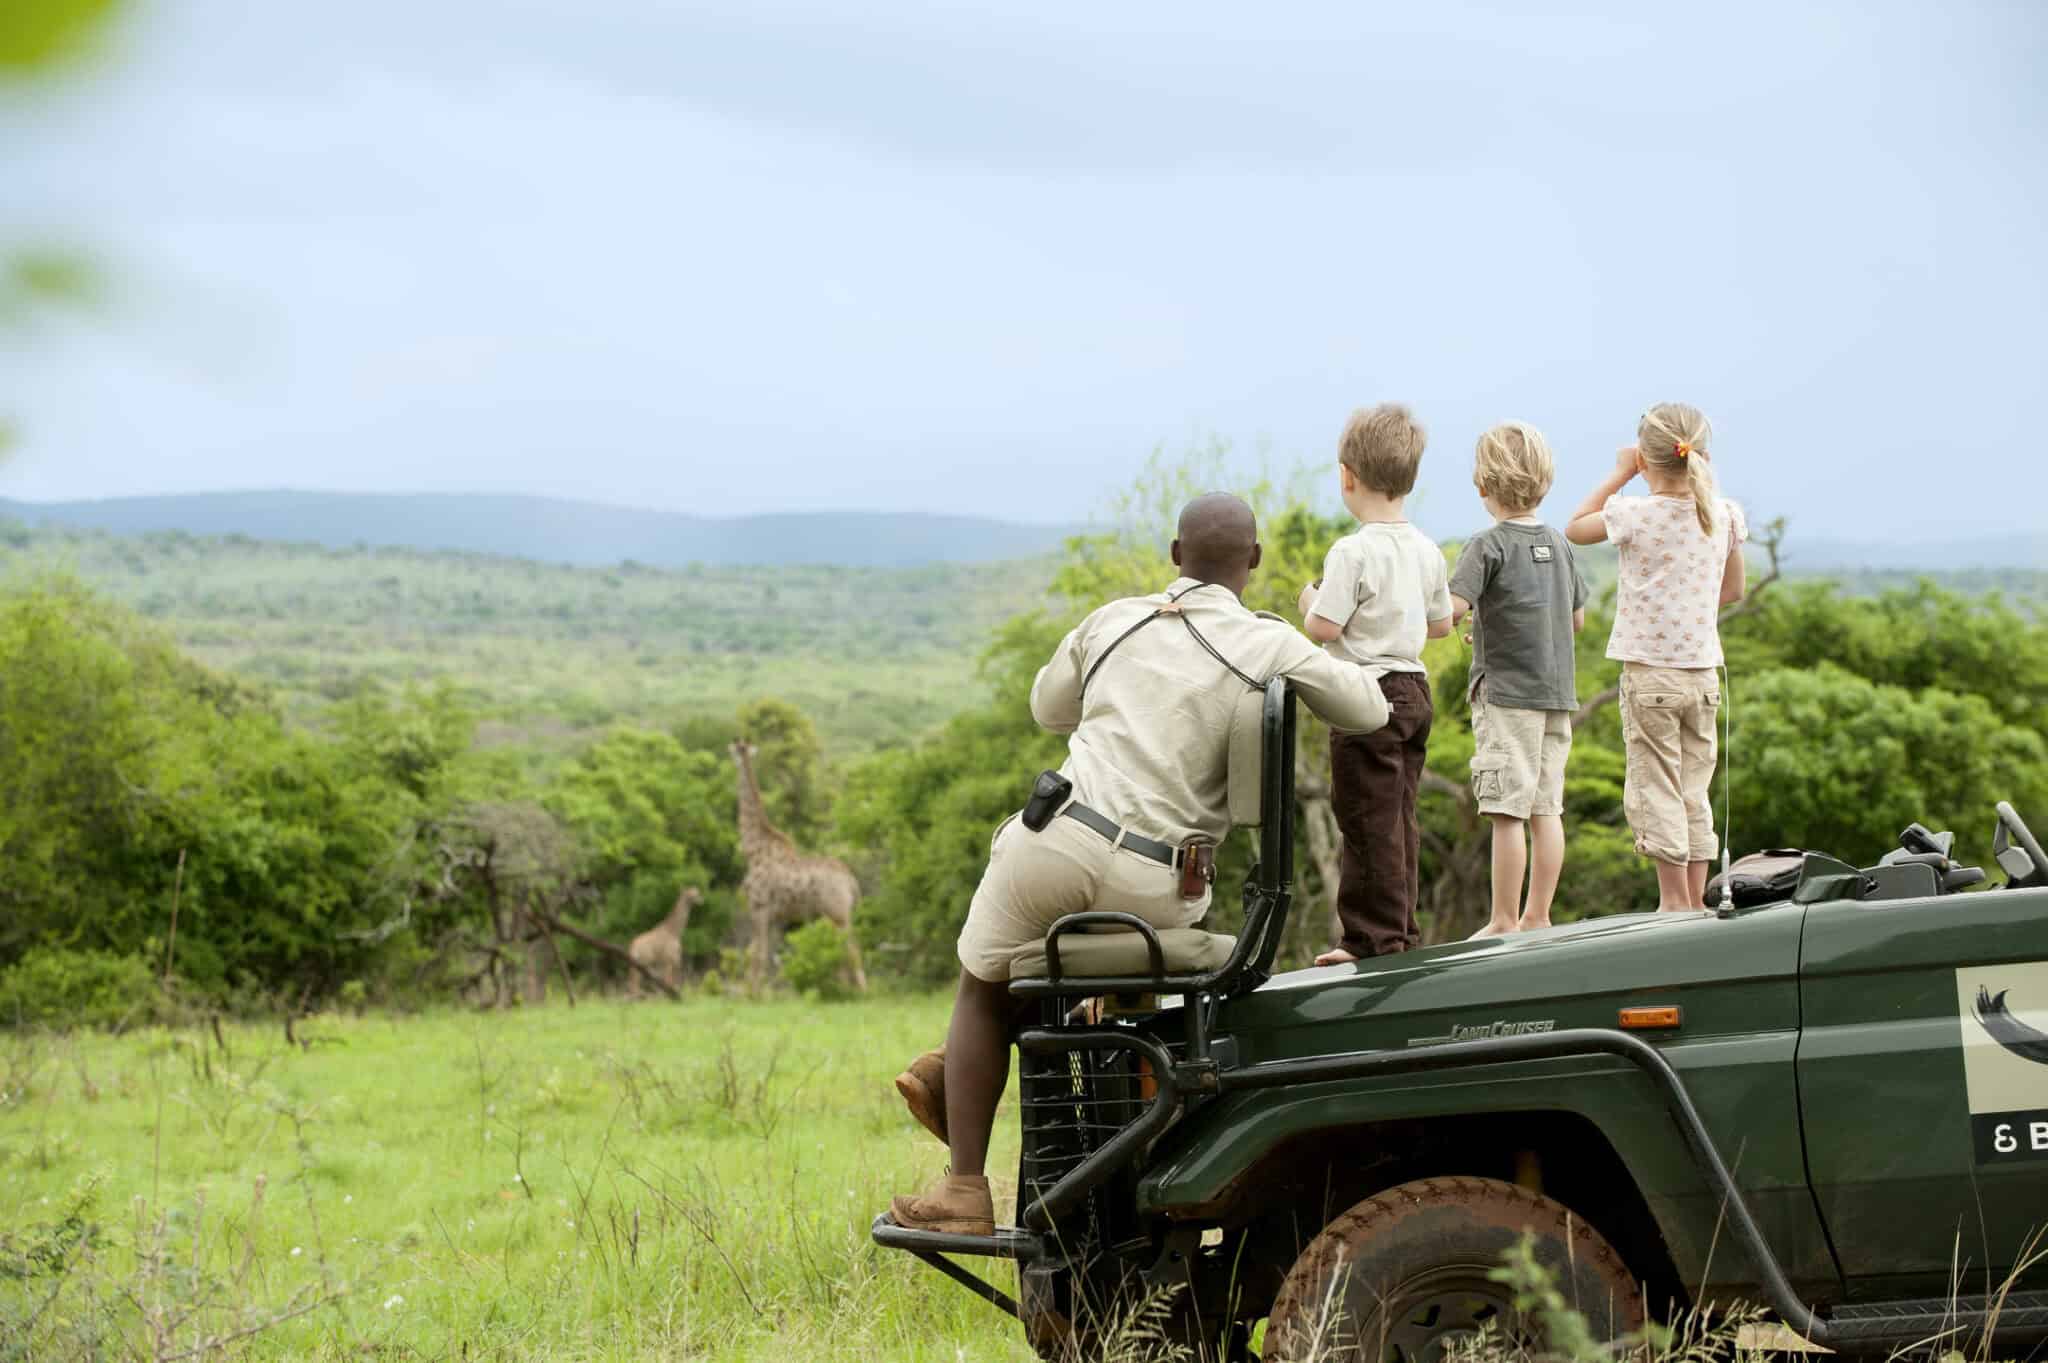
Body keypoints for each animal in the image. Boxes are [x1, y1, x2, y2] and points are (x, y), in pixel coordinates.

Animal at [730, 739, 867, 992]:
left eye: (732, 751)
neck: (753, 849)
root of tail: (852, 882)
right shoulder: (777, 918)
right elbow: (767, 957)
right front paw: (765, 993)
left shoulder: (758, 908)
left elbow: (756, 955)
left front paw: (752, 994)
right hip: (838, 915)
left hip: (838, 914)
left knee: (852, 949)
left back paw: (862, 992)